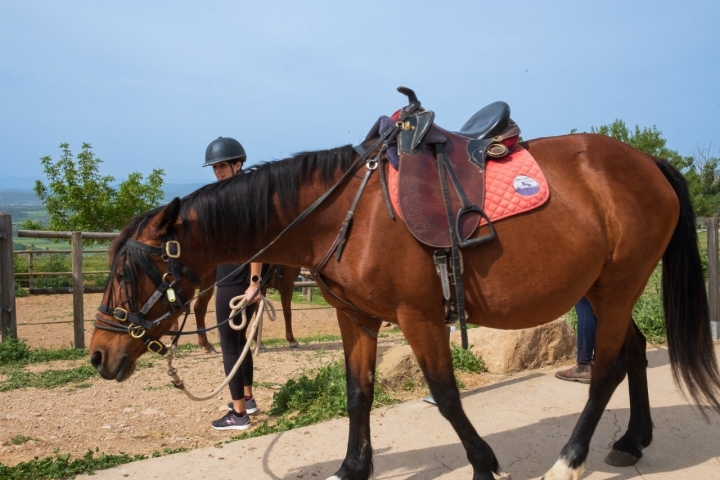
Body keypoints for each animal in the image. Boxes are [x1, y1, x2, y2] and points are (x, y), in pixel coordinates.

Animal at [169, 264, 301, 353]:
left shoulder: (262, 287)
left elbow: (258, 313)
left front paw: (258, 341)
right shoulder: (288, 284)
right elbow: (287, 313)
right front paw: (292, 340)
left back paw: (174, 342)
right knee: (199, 308)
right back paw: (205, 345)